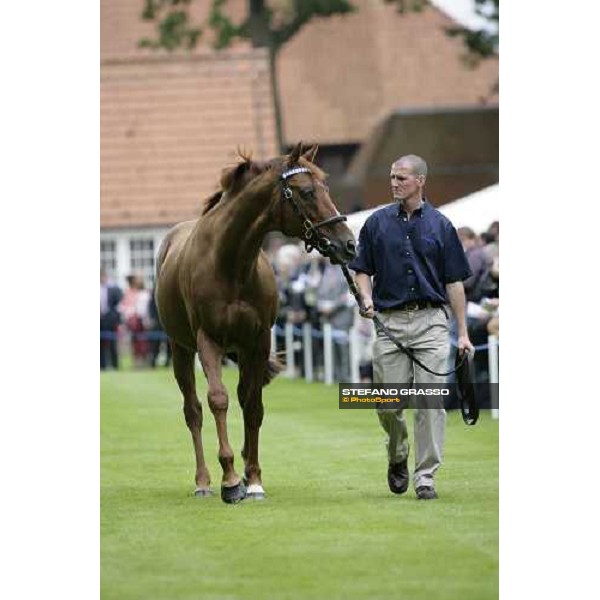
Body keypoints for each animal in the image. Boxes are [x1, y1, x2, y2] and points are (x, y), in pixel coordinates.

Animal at [157, 144, 358, 502]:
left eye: (326, 187)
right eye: (307, 192)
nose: (347, 244)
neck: (230, 263)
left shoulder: (258, 340)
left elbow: (252, 405)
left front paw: (252, 479)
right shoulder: (208, 340)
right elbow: (217, 400)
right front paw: (230, 480)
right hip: (180, 348)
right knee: (193, 410)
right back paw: (203, 482)